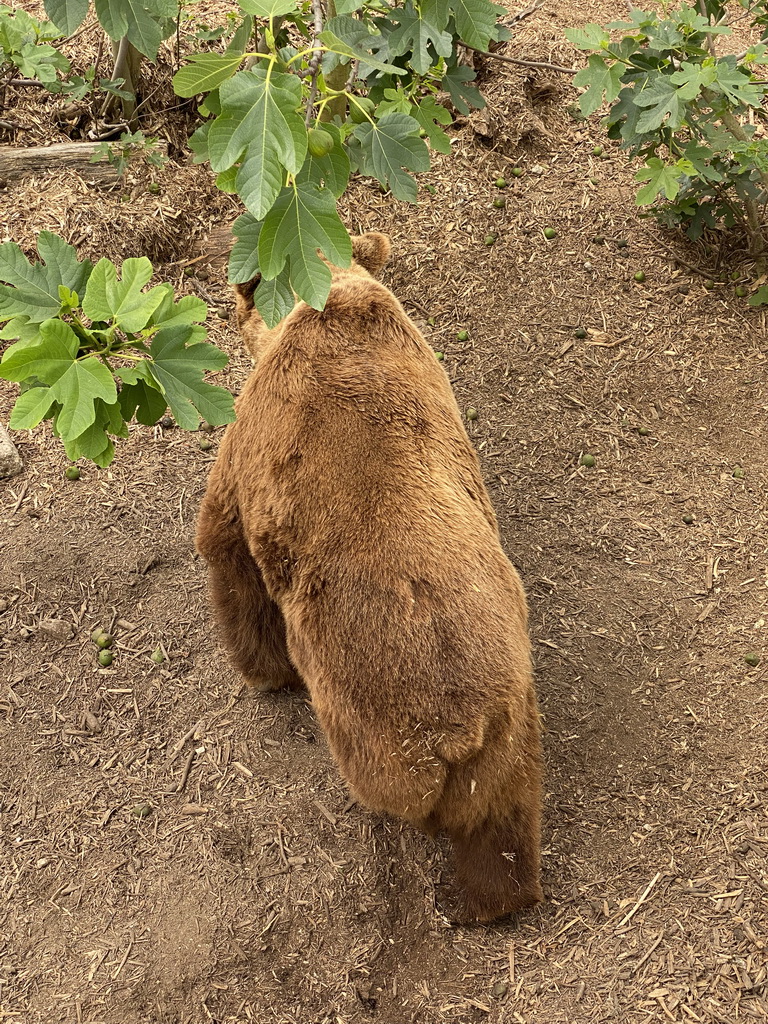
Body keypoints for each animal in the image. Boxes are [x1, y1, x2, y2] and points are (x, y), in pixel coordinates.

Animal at [198, 235, 548, 925]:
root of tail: (455, 729)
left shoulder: (251, 451)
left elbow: (230, 554)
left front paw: (262, 670)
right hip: (509, 722)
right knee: (503, 818)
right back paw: (496, 899)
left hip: (370, 711)